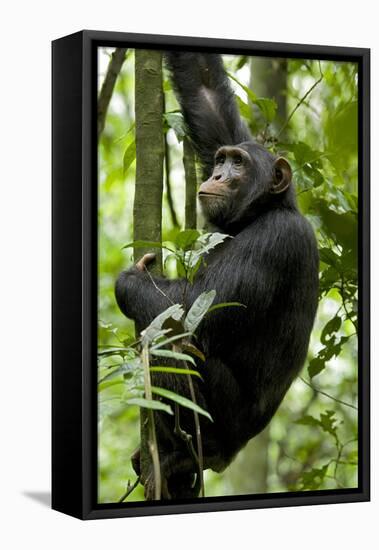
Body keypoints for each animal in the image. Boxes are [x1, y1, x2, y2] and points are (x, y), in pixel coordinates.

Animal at [116, 51, 320, 500]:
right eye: (223, 157)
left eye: (239, 165)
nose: (217, 174)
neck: (261, 212)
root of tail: (232, 453)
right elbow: (205, 89)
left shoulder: (276, 238)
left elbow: (198, 307)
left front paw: (131, 282)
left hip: (222, 422)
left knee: (167, 339)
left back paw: (191, 453)